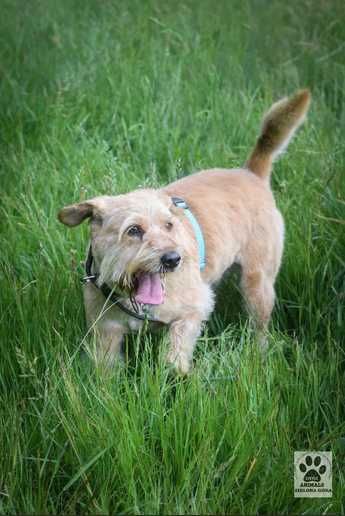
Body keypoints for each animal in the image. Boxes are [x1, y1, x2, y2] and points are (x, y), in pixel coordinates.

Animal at [58, 87, 310, 370]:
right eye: (133, 230)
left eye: (169, 225)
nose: (172, 259)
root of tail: (251, 173)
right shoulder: (105, 333)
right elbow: (106, 371)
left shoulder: (193, 310)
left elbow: (174, 356)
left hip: (258, 284)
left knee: (260, 326)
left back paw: (259, 352)